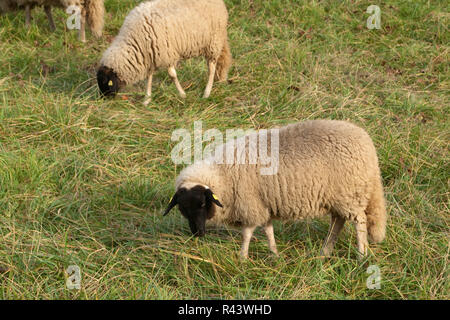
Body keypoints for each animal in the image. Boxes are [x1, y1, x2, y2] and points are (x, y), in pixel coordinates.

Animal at [97, 0, 234, 105]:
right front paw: (147, 99)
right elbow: (150, 77)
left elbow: (172, 75)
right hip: (217, 40)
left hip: (213, 41)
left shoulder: (166, 53)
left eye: (105, 82)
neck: (134, 42)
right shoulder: (150, 55)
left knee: (211, 67)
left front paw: (182, 94)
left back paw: (207, 92)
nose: (103, 100)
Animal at [163, 120, 388, 260]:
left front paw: (242, 258)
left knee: (360, 221)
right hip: (339, 197)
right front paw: (274, 254)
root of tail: (367, 143)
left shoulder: (250, 204)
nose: (198, 234)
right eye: (182, 209)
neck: (222, 174)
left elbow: (247, 233)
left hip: (350, 194)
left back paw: (361, 255)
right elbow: (268, 229)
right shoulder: (263, 203)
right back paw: (325, 252)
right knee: (338, 221)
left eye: (203, 203)